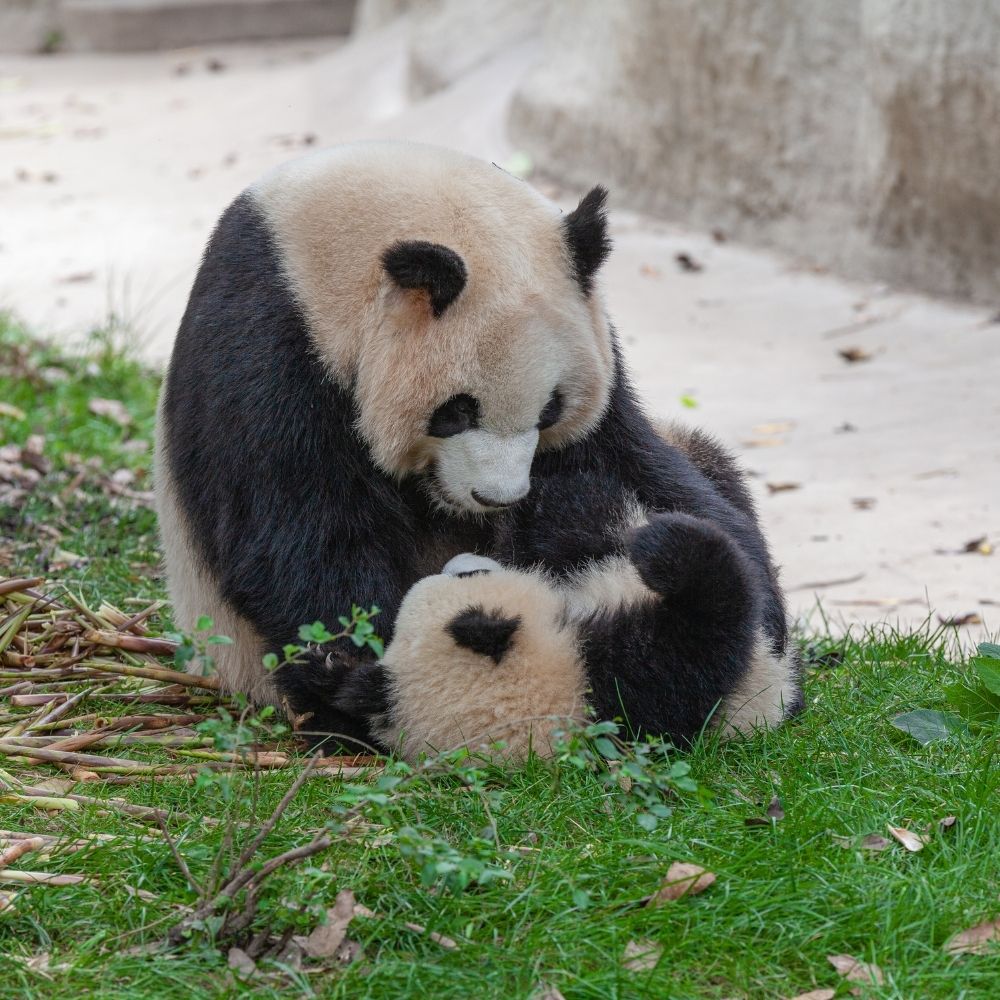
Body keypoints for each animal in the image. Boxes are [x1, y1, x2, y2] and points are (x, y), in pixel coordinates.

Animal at [155, 140, 799, 749]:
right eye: (456, 412)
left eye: (551, 408)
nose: (498, 498)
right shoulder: (271, 332)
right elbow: (299, 526)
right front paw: (364, 674)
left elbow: (637, 466)